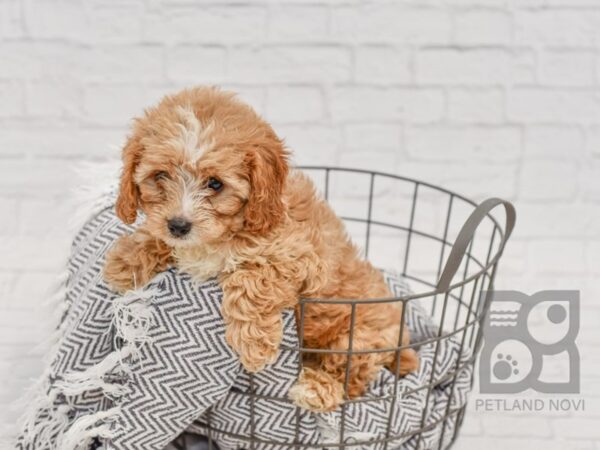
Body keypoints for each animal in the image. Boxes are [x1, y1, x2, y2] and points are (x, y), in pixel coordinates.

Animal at [103, 86, 418, 414]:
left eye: (215, 184)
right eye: (160, 176)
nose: (179, 225)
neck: (225, 233)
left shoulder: (302, 257)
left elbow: (250, 278)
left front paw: (255, 345)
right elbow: (158, 238)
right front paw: (126, 259)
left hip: (360, 336)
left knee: (352, 376)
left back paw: (317, 388)